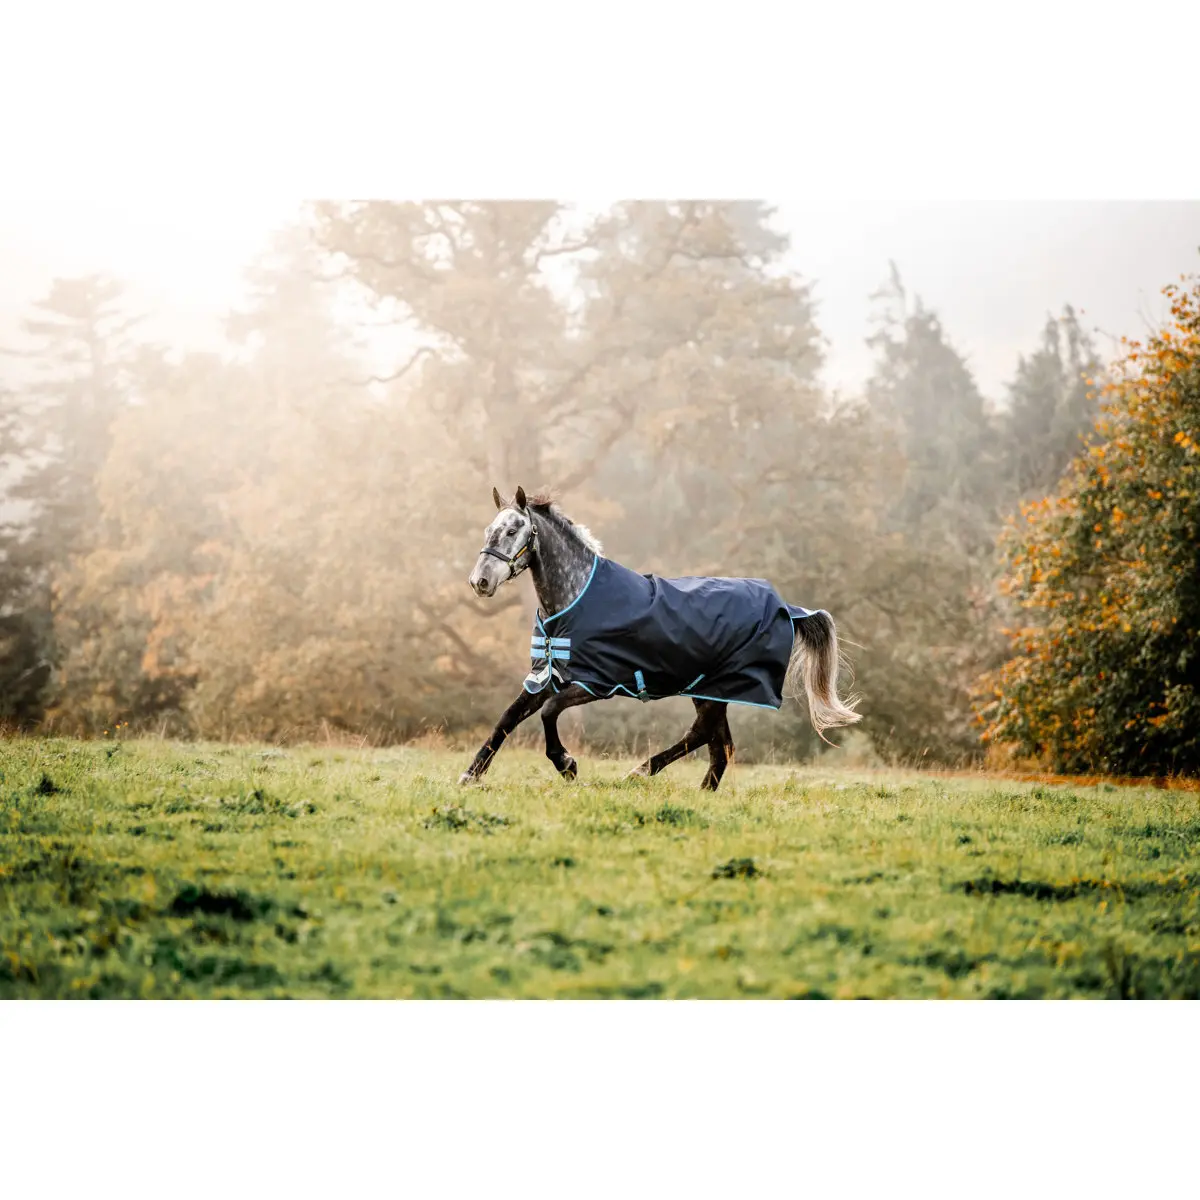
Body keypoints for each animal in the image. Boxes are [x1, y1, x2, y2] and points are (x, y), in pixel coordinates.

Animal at [460, 485, 861, 790]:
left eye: (513, 530)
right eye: (488, 529)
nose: (480, 581)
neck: (575, 599)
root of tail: (786, 608)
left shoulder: (596, 683)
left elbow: (548, 713)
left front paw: (567, 765)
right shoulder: (547, 677)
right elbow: (507, 718)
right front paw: (470, 775)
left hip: (715, 689)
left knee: (707, 738)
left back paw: (640, 773)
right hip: (709, 691)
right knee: (715, 743)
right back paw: (690, 788)